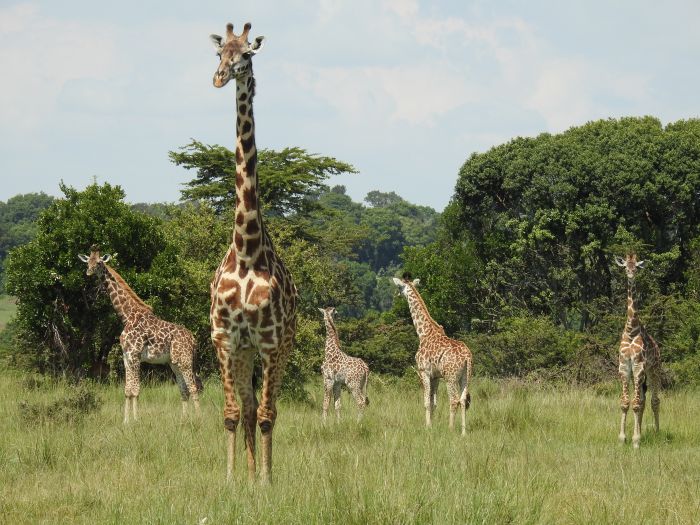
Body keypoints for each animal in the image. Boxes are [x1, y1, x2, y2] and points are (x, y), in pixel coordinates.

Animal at [78, 245, 202, 422]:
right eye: (88, 261)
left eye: (100, 262)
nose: (89, 271)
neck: (127, 316)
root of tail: (193, 339)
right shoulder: (126, 356)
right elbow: (127, 390)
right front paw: (126, 421)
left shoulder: (135, 355)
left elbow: (136, 389)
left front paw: (136, 420)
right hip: (174, 362)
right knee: (183, 389)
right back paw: (183, 420)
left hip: (185, 360)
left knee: (193, 387)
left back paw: (198, 419)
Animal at [392, 276, 474, 432]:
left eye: (399, 287)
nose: (397, 295)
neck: (423, 332)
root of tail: (467, 357)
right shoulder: (435, 376)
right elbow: (433, 402)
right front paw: (432, 426)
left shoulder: (423, 371)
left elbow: (426, 402)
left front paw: (427, 426)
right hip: (465, 376)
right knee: (462, 399)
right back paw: (463, 432)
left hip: (450, 377)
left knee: (454, 400)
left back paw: (450, 428)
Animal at [612, 254, 660, 446]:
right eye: (626, 266)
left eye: (636, 267)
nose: (631, 274)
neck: (631, 330)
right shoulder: (625, 367)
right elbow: (626, 402)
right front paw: (622, 438)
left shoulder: (639, 366)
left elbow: (636, 404)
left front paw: (636, 441)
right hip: (637, 375)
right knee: (643, 400)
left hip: (653, 369)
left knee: (654, 400)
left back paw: (657, 432)